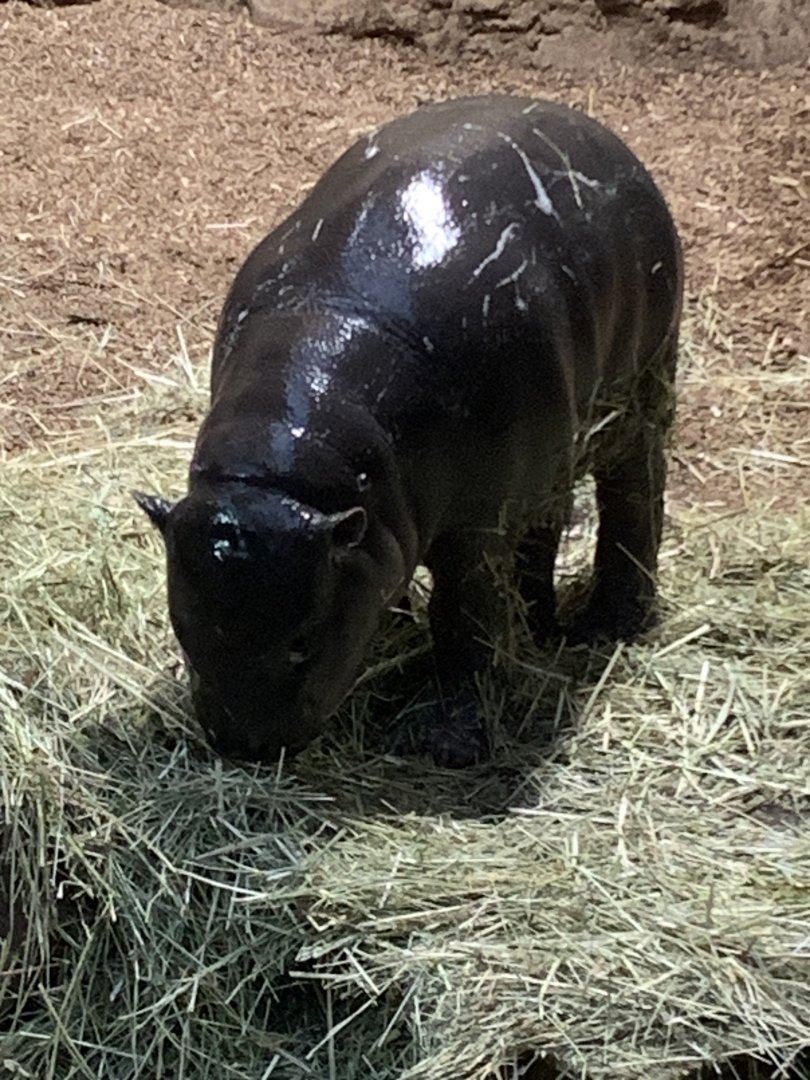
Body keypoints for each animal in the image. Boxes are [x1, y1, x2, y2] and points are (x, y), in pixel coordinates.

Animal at [136, 94, 683, 768]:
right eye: (181, 626)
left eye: (302, 640)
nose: (244, 747)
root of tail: (596, 130)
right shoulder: (380, 523)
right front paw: (395, 629)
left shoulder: (475, 525)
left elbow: (467, 618)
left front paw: (449, 742)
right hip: (552, 451)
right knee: (547, 523)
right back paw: (539, 622)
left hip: (644, 386)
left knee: (633, 490)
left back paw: (609, 625)